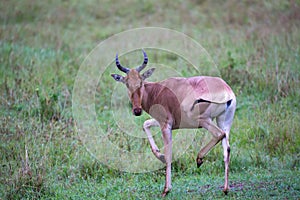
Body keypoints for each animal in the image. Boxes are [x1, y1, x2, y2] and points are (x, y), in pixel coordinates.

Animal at [111, 49, 236, 196]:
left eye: (141, 82)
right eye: (127, 83)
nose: (137, 110)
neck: (158, 90)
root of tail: (226, 91)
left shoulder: (166, 125)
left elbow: (169, 153)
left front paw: (166, 189)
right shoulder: (163, 122)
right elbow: (145, 124)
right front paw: (160, 155)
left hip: (203, 120)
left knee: (219, 134)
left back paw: (199, 159)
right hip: (223, 121)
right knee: (226, 148)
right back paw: (225, 188)